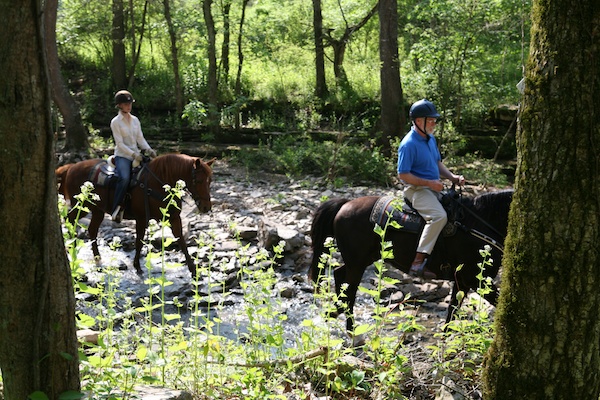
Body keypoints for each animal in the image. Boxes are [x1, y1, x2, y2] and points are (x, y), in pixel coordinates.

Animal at [56, 153, 216, 276]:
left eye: (210, 181)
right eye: (198, 180)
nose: (206, 207)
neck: (157, 183)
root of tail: (71, 167)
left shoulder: (174, 218)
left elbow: (181, 240)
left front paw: (193, 269)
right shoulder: (141, 218)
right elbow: (139, 241)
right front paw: (137, 266)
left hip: (97, 211)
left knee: (92, 230)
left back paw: (97, 258)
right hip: (81, 206)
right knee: (70, 220)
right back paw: (72, 247)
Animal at [312, 190, 512, 332]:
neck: (478, 225)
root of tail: (345, 204)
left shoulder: (462, 280)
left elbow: (452, 311)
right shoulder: (477, 280)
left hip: (362, 259)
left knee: (339, 275)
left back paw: (335, 313)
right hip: (357, 263)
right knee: (350, 291)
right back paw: (351, 330)